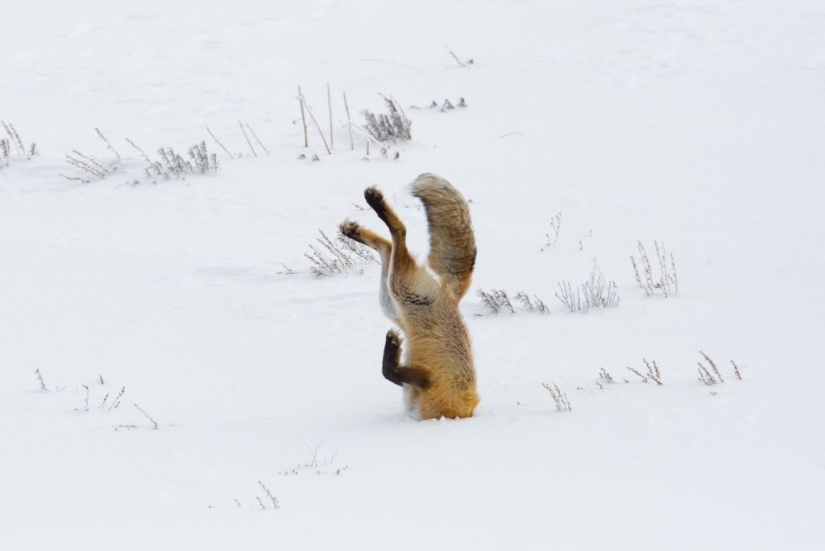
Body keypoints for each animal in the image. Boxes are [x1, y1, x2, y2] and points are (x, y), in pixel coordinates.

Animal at [340, 173, 479, 420]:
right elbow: (389, 372)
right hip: (394, 295)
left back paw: (369, 209)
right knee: (391, 242)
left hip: (397, 292)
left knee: (395, 238)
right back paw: (360, 221)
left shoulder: (427, 382)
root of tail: (452, 296)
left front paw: (392, 344)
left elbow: (389, 372)